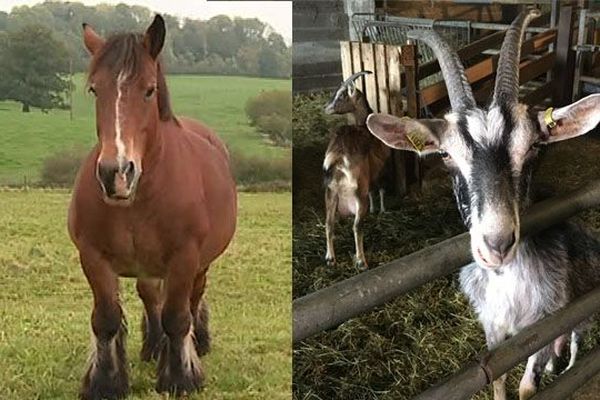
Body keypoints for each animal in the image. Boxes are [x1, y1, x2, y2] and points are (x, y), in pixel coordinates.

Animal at [69, 14, 237, 398]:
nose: (116, 173)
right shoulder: (93, 256)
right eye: (94, 90)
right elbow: (106, 319)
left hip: (199, 264)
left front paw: (181, 377)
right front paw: (105, 381)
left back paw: (194, 342)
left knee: (191, 300)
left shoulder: (185, 257)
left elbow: (177, 317)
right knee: (150, 297)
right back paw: (153, 345)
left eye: (148, 90)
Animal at [366, 9, 600, 400]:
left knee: (574, 337)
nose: (497, 245)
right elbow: (499, 379)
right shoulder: (494, 327)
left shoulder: (542, 321)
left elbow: (527, 386)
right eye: (445, 154)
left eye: (534, 146)